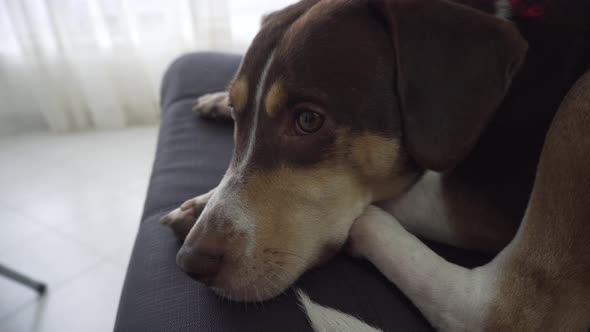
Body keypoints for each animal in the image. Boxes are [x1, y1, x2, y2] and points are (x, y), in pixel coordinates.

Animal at [161, 0, 590, 330]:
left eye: (308, 120)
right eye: (238, 113)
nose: (192, 262)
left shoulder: (479, 202)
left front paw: (201, 202)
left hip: (577, 104)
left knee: (492, 310)